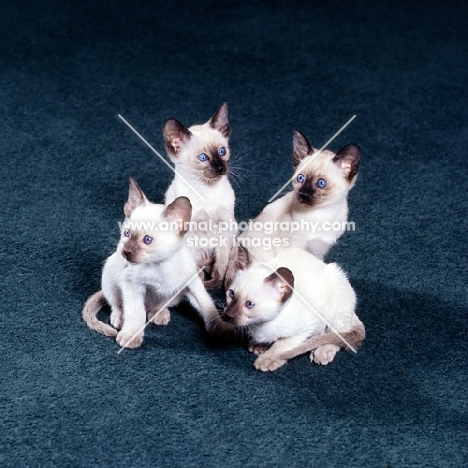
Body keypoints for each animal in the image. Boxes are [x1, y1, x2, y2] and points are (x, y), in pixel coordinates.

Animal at [82, 177, 236, 346]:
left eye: (147, 240)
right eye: (127, 234)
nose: (126, 252)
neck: (162, 265)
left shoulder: (193, 282)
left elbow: (207, 305)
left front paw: (221, 329)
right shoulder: (132, 284)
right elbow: (136, 312)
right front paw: (131, 335)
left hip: (176, 295)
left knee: (158, 306)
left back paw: (159, 314)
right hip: (111, 274)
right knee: (117, 303)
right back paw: (120, 318)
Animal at [165, 103, 238, 288]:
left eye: (222, 151)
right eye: (203, 158)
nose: (221, 169)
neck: (207, 192)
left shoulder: (225, 225)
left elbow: (221, 267)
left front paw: (216, 284)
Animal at [223, 247, 366, 372]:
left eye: (249, 304)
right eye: (231, 294)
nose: (228, 315)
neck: (260, 325)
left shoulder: (307, 328)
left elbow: (282, 345)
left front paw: (268, 359)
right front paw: (261, 344)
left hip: (334, 309)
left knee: (338, 334)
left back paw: (322, 352)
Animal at [225, 130, 360, 288]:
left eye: (321, 183)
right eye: (300, 178)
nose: (303, 194)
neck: (319, 215)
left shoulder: (318, 250)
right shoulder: (292, 247)